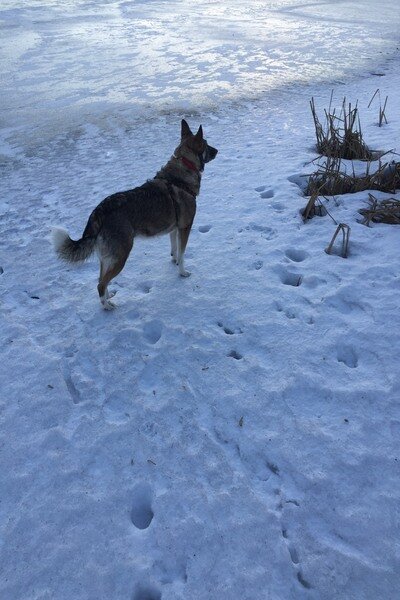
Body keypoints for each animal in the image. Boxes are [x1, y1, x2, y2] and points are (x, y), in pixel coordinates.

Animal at [52, 120, 217, 312]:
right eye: (206, 144)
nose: (218, 150)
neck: (182, 171)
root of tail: (99, 211)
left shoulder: (174, 229)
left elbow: (174, 250)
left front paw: (174, 261)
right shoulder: (185, 227)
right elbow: (182, 254)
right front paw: (182, 272)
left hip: (107, 257)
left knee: (101, 279)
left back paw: (109, 297)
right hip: (121, 255)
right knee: (100, 284)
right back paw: (108, 307)